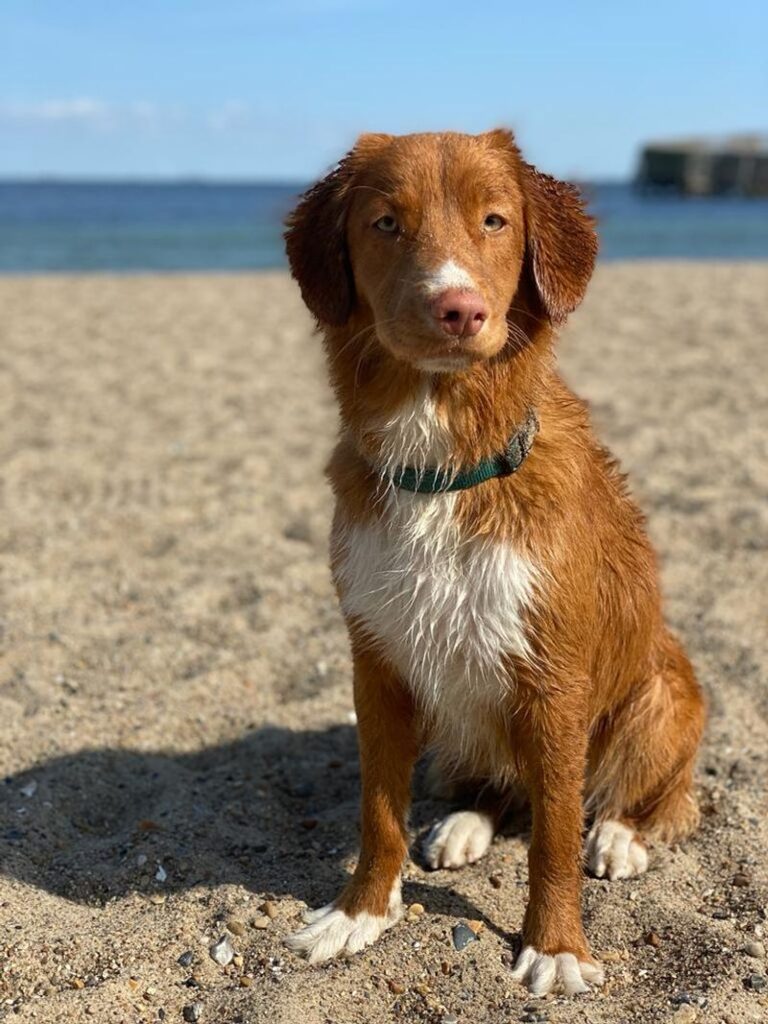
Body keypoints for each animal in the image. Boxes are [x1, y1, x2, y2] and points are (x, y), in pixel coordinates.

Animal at [280, 128, 704, 991]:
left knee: (641, 796)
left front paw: (558, 946)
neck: (445, 466)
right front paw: (359, 914)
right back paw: (465, 823)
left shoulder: (556, 679)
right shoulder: (377, 661)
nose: (459, 308)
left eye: (495, 220)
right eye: (385, 223)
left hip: (663, 693)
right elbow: (378, 812)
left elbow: (555, 833)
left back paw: (619, 837)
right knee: (498, 787)